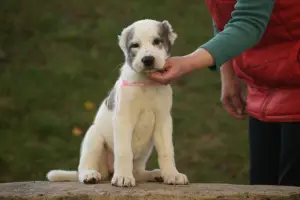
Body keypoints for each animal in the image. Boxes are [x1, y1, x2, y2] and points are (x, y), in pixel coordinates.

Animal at [46, 19, 189, 188]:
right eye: (135, 45)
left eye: (157, 41)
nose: (147, 59)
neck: (145, 83)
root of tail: (108, 173)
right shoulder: (123, 119)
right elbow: (124, 151)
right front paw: (123, 177)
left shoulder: (164, 120)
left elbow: (167, 150)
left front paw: (172, 174)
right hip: (94, 136)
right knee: (85, 166)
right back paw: (90, 175)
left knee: (138, 172)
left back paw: (155, 174)